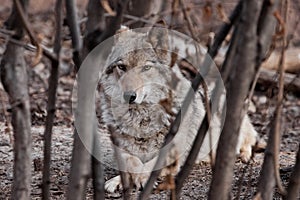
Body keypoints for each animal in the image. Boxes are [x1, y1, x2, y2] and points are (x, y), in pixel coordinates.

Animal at [99, 27, 258, 193]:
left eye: (146, 68)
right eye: (122, 67)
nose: (129, 96)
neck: (141, 120)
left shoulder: (170, 155)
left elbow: (149, 165)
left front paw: (142, 179)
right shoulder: (122, 151)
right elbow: (133, 161)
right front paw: (118, 180)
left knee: (248, 141)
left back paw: (244, 155)